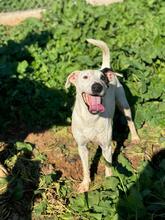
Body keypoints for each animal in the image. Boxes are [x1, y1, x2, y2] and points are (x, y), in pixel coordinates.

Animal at [65, 39, 139, 192]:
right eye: (85, 77)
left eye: (102, 78)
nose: (97, 86)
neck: (90, 118)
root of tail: (104, 67)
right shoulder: (82, 146)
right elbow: (85, 167)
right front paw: (85, 184)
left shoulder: (106, 146)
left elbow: (108, 166)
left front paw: (109, 184)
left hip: (123, 104)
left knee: (130, 121)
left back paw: (135, 137)